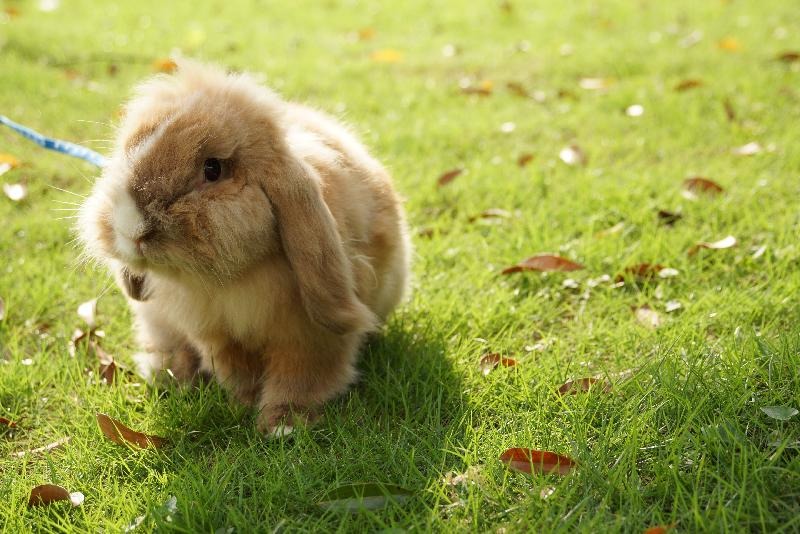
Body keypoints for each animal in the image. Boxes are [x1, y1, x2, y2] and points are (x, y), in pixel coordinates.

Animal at [79, 60, 412, 438]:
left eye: (213, 168)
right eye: (130, 149)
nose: (129, 226)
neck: (231, 281)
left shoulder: (311, 336)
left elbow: (303, 376)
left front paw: (283, 424)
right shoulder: (216, 334)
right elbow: (236, 369)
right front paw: (245, 402)